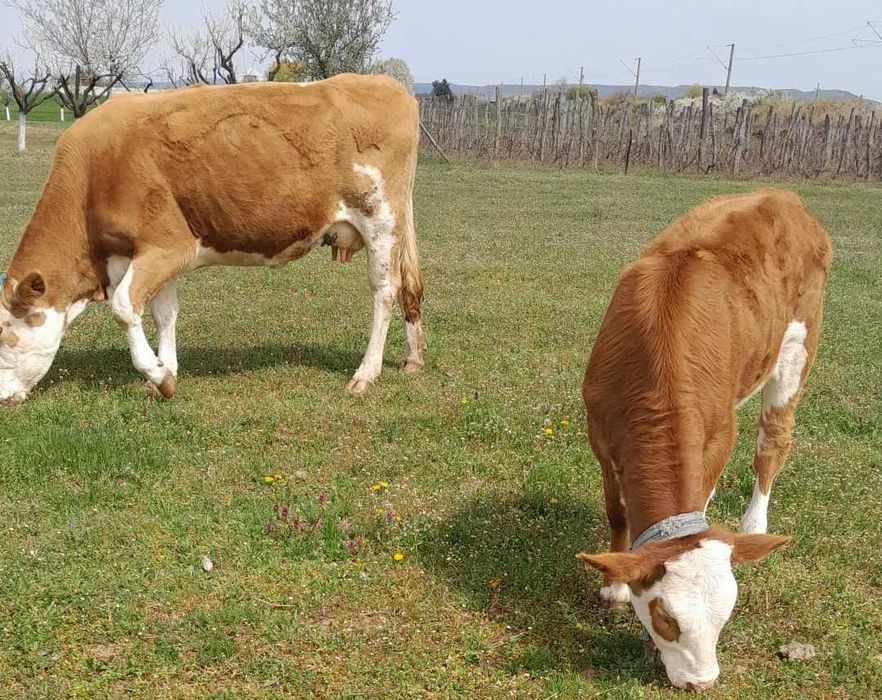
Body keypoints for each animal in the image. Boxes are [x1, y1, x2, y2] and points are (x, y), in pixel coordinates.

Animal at [0, 74, 425, 405]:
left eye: (4, 338)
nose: (3, 400)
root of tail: (385, 83)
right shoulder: (141, 254)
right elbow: (163, 313)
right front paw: (166, 371)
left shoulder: (169, 246)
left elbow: (123, 307)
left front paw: (157, 375)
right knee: (409, 287)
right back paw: (413, 358)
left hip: (380, 219)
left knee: (385, 291)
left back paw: (366, 374)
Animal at [576, 190, 831, 690]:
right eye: (665, 618)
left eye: (725, 616)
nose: (702, 681)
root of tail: (783, 197)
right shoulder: (599, 433)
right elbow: (617, 512)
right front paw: (613, 587)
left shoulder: (717, 438)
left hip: (797, 349)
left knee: (772, 444)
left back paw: (753, 526)